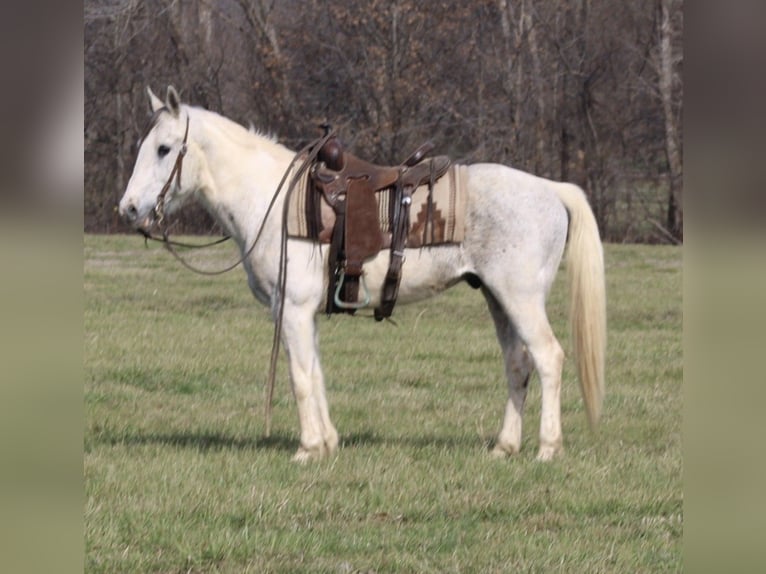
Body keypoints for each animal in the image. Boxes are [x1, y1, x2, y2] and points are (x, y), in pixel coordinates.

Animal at [118, 86, 606, 463]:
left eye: (164, 149)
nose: (129, 209)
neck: (272, 202)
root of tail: (550, 189)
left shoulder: (292, 309)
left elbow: (299, 377)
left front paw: (307, 449)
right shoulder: (301, 314)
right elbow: (315, 373)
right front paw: (328, 443)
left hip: (520, 297)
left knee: (548, 358)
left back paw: (547, 448)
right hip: (496, 297)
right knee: (518, 364)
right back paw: (504, 447)